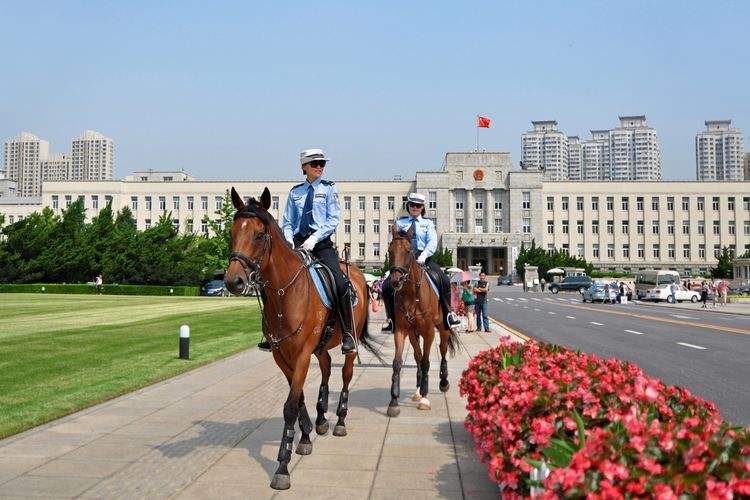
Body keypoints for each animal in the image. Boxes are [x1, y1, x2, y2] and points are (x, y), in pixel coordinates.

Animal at [223, 187, 382, 488]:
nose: (233, 282)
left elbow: (289, 406)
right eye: (232, 232)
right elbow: (297, 401)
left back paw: (339, 421)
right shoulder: (282, 357)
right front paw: (306, 434)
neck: (285, 295)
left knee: (345, 375)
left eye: (259, 235)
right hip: (320, 348)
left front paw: (283, 466)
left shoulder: (301, 355)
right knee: (326, 368)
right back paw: (321, 419)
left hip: (349, 343)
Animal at [384, 225, 462, 416]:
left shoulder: (428, 332)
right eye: (390, 251)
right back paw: (418, 389)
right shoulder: (401, 330)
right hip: (413, 333)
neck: (412, 294)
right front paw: (394, 400)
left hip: (443, 329)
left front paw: (425, 398)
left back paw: (443, 382)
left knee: (442, 351)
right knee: (417, 356)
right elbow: (398, 363)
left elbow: (427, 362)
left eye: (408, 250)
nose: (395, 280)